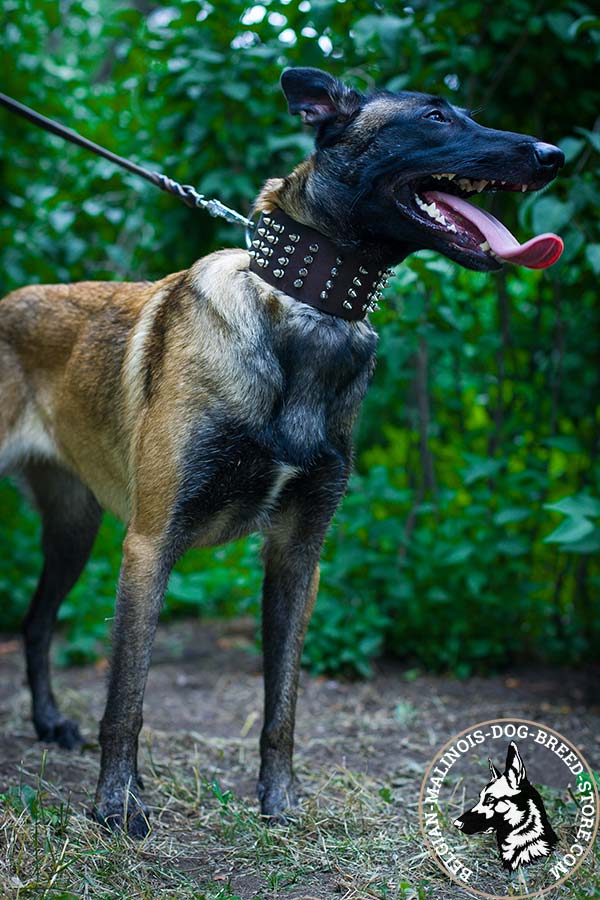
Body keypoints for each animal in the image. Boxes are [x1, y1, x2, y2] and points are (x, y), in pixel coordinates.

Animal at [0, 68, 564, 836]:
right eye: (435, 117)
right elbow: (127, 701)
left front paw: (280, 802)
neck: (307, 312)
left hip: (74, 528)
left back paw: (49, 722)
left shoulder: (299, 554)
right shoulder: (150, 543)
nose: (553, 155)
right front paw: (117, 805)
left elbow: (282, 705)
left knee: (33, 624)